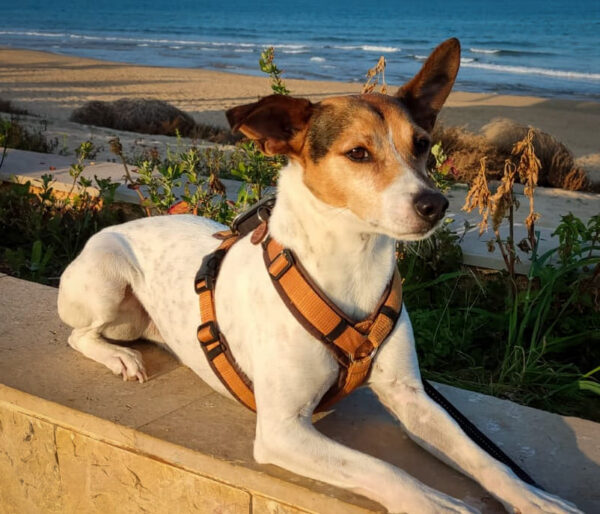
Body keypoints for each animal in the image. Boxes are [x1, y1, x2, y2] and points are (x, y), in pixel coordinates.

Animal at [57, 40, 580, 512]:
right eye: (358, 153)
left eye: (423, 146)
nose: (435, 204)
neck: (353, 267)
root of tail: (121, 225)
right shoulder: (281, 428)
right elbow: (382, 467)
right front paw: (439, 504)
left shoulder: (411, 397)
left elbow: (487, 460)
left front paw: (535, 499)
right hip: (107, 286)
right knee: (79, 336)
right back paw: (119, 357)